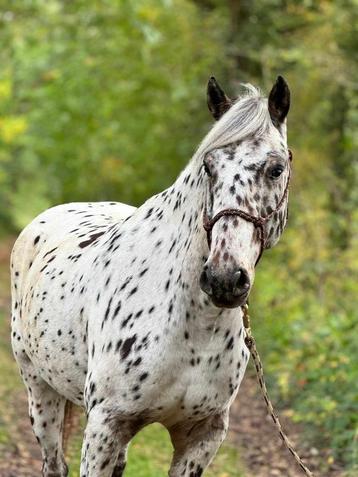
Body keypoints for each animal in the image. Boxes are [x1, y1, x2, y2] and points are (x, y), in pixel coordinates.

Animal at [10, 76, 290, 474]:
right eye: (209, 167)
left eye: (276, 169)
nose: (223, 279)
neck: (193, 325)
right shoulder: (105, 425)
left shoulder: (202, 434)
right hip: (40, 390)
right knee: (53, 462)